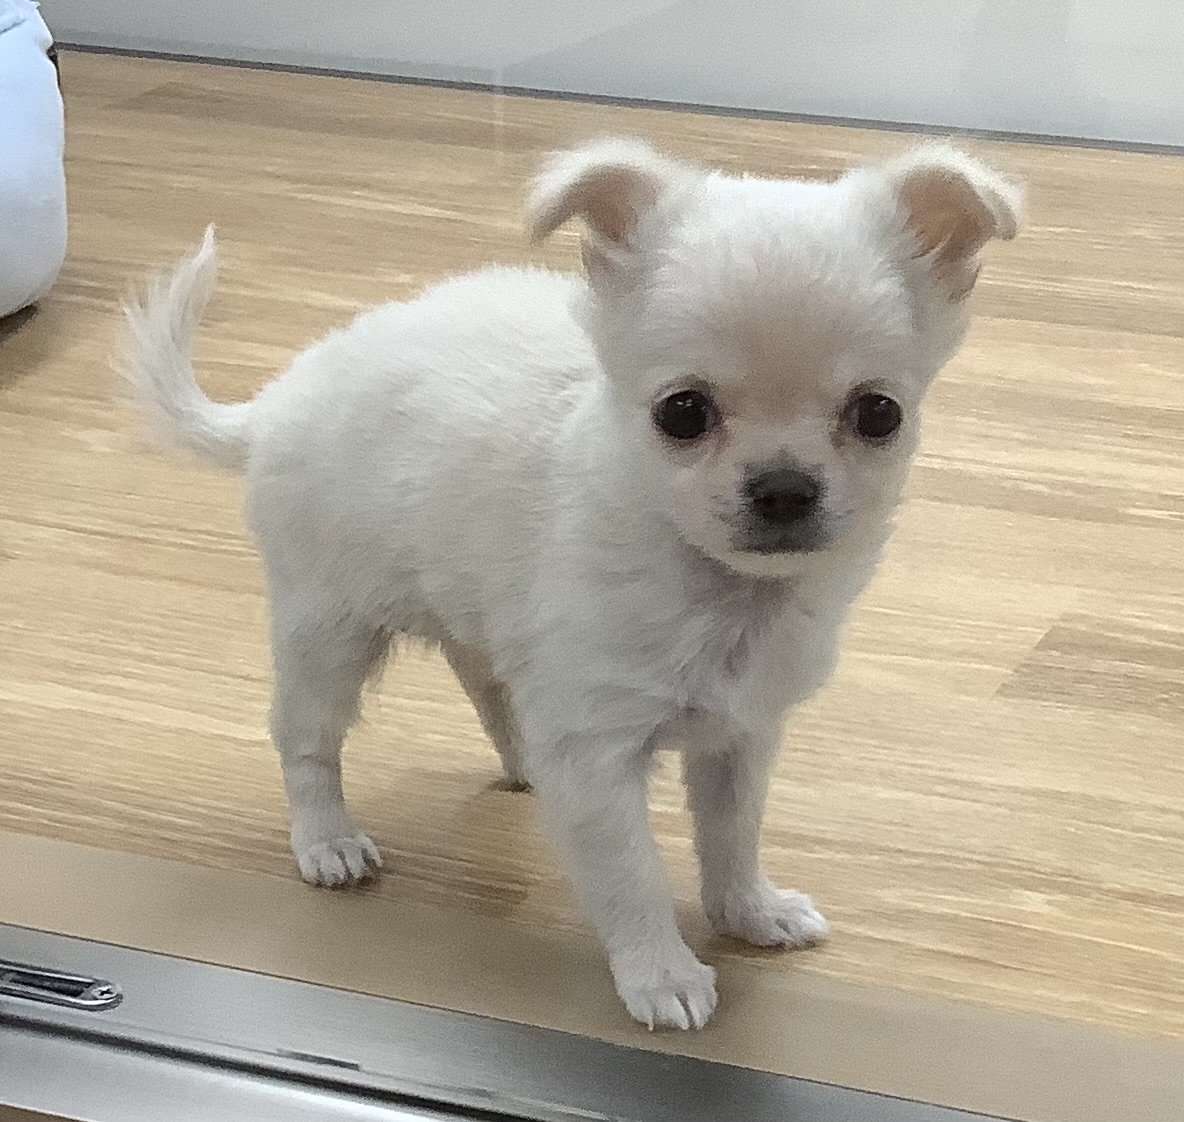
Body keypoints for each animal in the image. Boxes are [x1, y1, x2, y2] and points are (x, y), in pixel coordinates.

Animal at [120, 138, 1021, 1030]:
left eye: (879, 414)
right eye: (682, 413)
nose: (784, 488)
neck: (721, 596)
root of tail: (275, 402)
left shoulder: (738, 737)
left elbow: (732, 836)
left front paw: (749, 912)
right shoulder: (596, 758)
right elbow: (632, 876)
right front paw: (662, 976)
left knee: (483, 679)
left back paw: (519, 761)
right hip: (329, 631)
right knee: (306, 739)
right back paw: (326, 841)